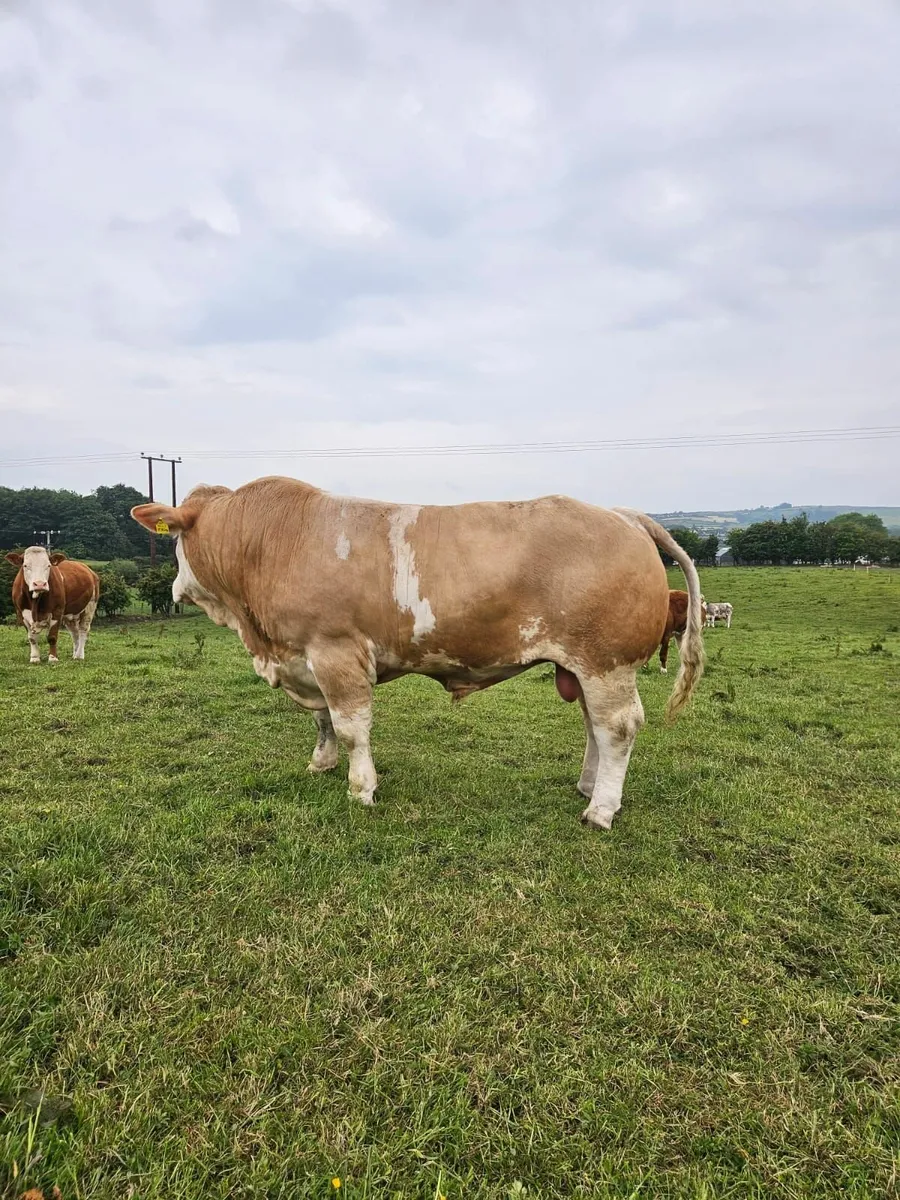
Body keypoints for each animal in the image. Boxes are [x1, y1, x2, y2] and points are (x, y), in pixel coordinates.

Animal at [132, 477, 704, 830]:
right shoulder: (306, 657)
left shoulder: (335, 652)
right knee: (594, 726)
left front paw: (360, 789)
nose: (176, 587)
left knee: (618, 728)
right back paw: (588, 786)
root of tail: (621, 515)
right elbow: (322, 720)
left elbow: (350, 726)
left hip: (606, 662)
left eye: (176, 540)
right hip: (582, 666)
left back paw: (602, 809)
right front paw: (322, 763)